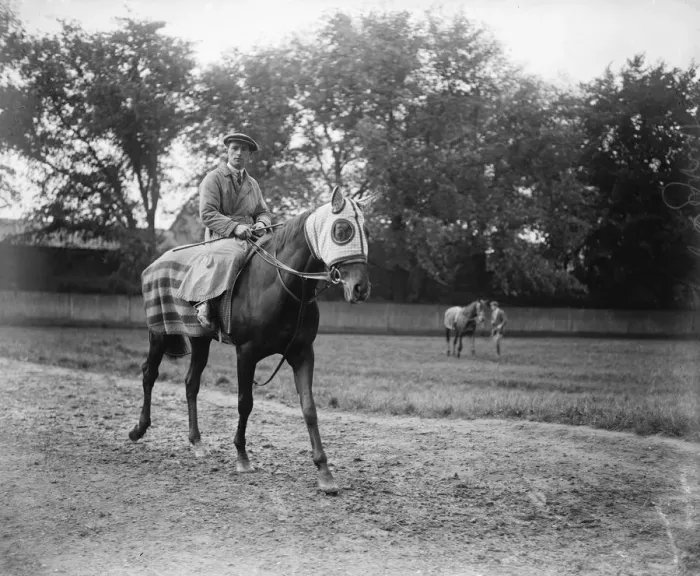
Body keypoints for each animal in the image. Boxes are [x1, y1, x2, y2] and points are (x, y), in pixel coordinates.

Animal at [131, 187, 371, 494]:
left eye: (366, 230)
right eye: (342, 230)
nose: (360, 288)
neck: (282, 286)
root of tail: (155, 264)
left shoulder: (302, 353)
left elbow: (309, 408)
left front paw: (324, 472)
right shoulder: (246, 353)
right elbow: (245, 402)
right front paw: (242, 457)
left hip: (200, 340)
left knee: (191, 383)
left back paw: (197, 442)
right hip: (159, 333)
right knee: (149, 374)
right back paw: (139, 429)